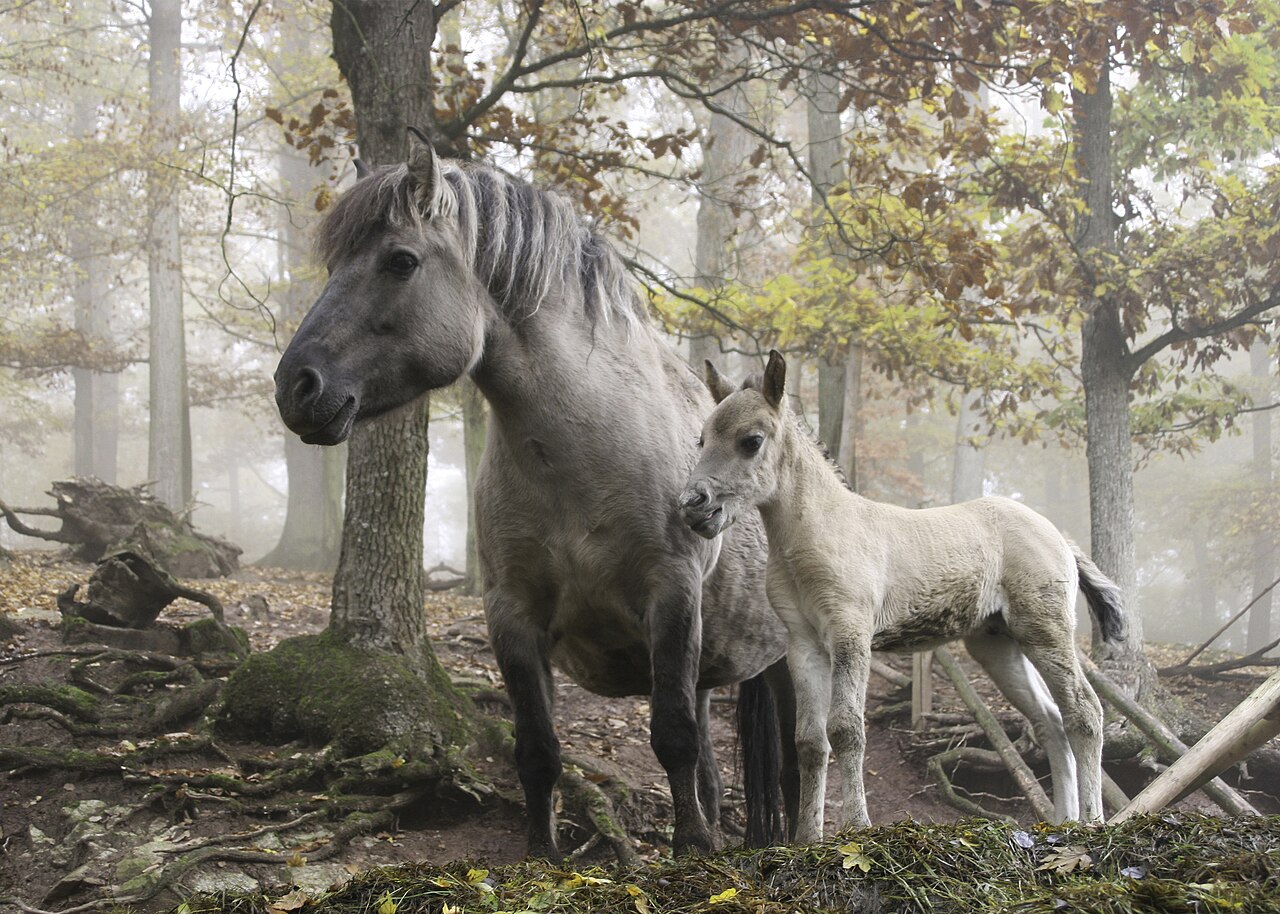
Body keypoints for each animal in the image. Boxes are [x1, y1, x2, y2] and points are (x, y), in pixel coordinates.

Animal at [273, 131, 796, 858]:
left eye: (400, 261)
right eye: (332, 264)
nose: (296, 387)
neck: (580, 461)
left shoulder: (672, 596)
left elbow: (672, 737)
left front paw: (691, 851)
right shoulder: (512, 616)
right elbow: (539, 751)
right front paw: (542, 855)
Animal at [679, 350, 1126, 842]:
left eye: (751, 440)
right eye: (702, 439)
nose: (693, 505)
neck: (819, 532)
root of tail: (1060, 537)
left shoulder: (850, 635)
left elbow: (846, 730)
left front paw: (856, 826)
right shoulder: (804, 645)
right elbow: (810, 741)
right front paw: (807, 839)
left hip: (1045, 629)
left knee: (1084, 711)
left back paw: (1093, 821)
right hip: (997, 643)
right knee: (1050, 721)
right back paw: (1063, 823)